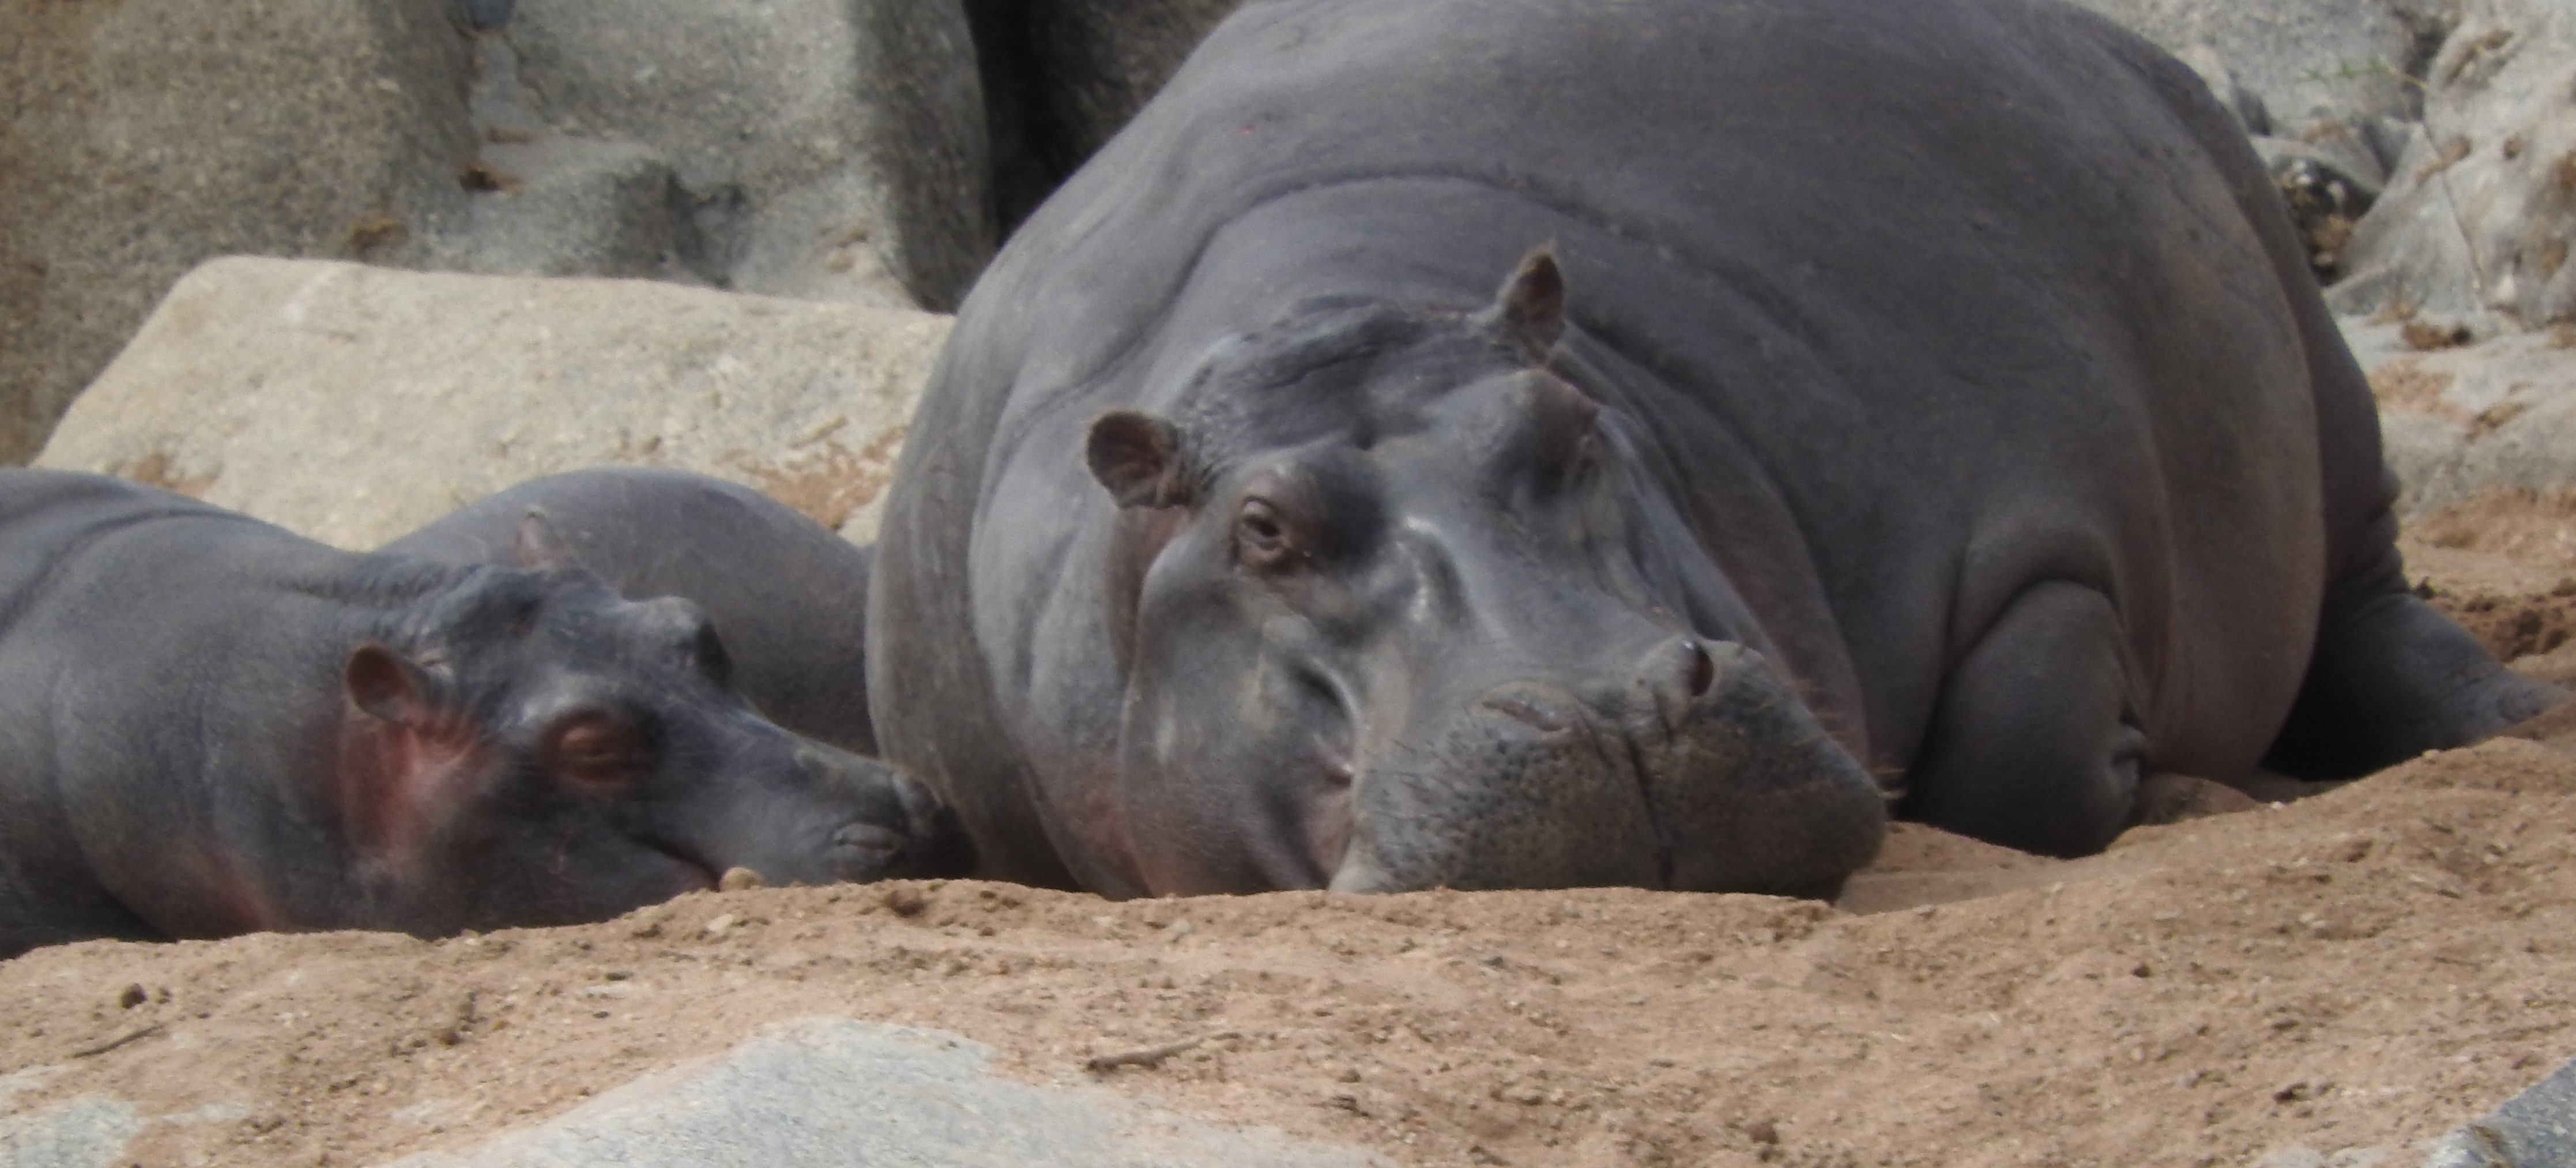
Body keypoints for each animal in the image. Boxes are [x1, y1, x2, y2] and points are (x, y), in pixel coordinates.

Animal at [867, 0, 2561, 898]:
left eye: (1574, 426)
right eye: (1263, 530)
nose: (1609, 710)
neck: (1332, 320)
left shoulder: (2030, 535)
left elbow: (2020, 740)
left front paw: (2161, 776)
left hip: (2313, 379)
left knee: (2373, 618)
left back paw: (2517, 717)